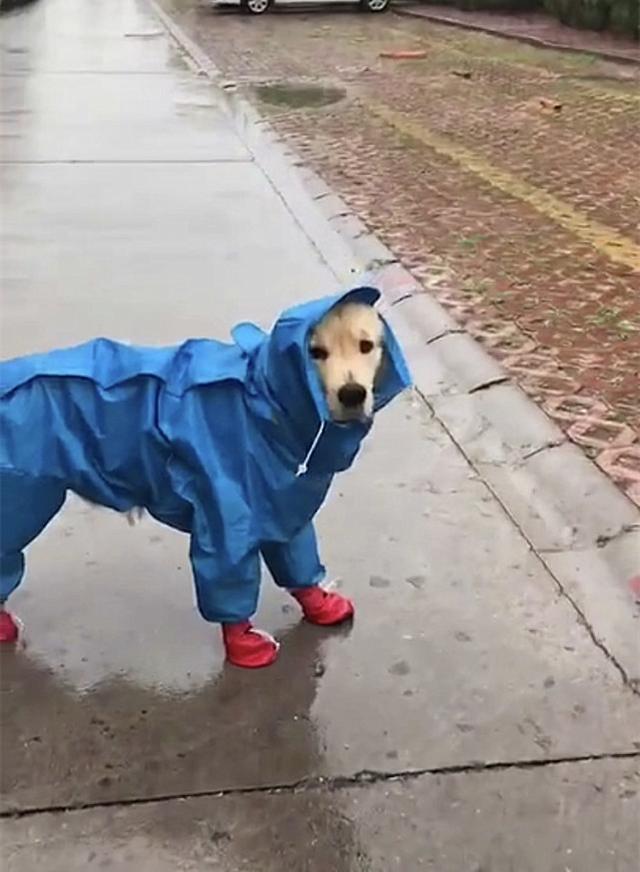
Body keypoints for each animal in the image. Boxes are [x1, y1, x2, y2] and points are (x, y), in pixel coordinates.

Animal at [0, 288, 410, 668]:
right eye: (315, 352)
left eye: (366, 346)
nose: (352, 393)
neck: (266, 405)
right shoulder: (226, 516)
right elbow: (230, 578)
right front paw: (244, 645)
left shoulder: (283, 507)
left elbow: (298, 560)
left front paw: (320, 604)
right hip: (24, 499)